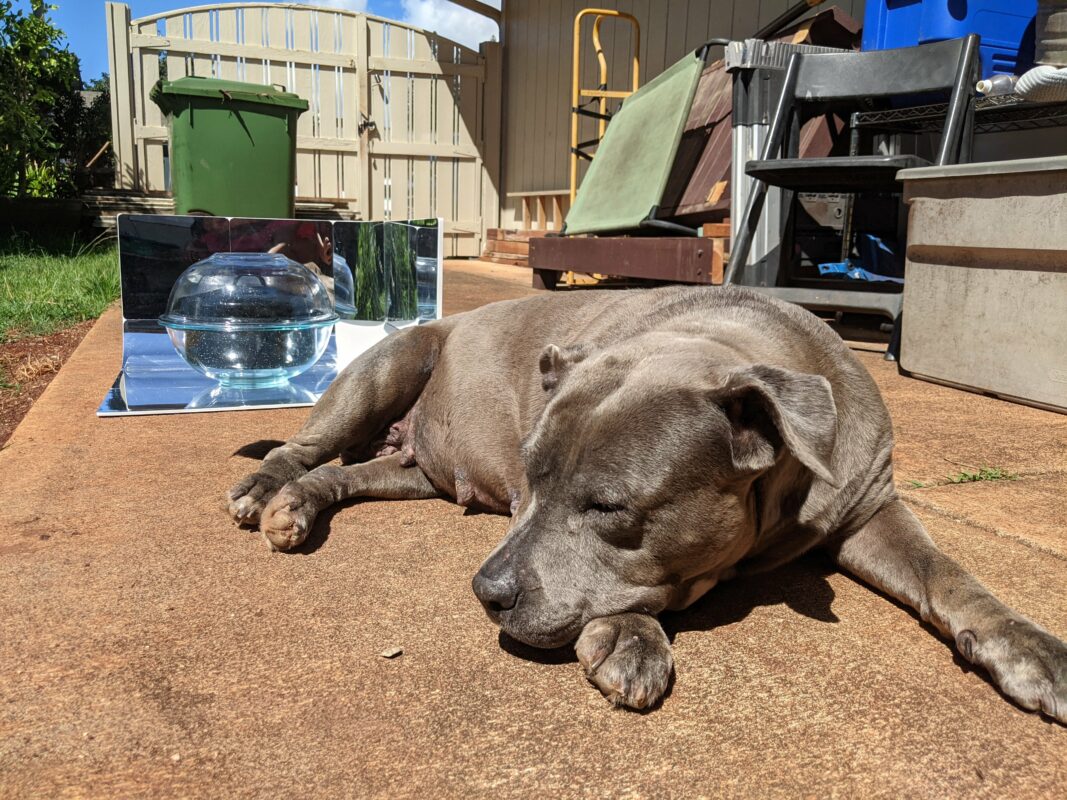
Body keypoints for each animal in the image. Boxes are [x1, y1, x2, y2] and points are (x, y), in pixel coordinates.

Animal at [227, 285, 1067, 721]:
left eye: (608, 508)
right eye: (530, 479)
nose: (484, 591)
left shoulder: (868, 504)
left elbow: (943, 570)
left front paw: (1026, 646)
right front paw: (630, 636)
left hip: (417, 470)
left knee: (349, 475)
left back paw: (298, 505)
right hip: (387, 368)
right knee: (302, 446)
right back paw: (267, 491)